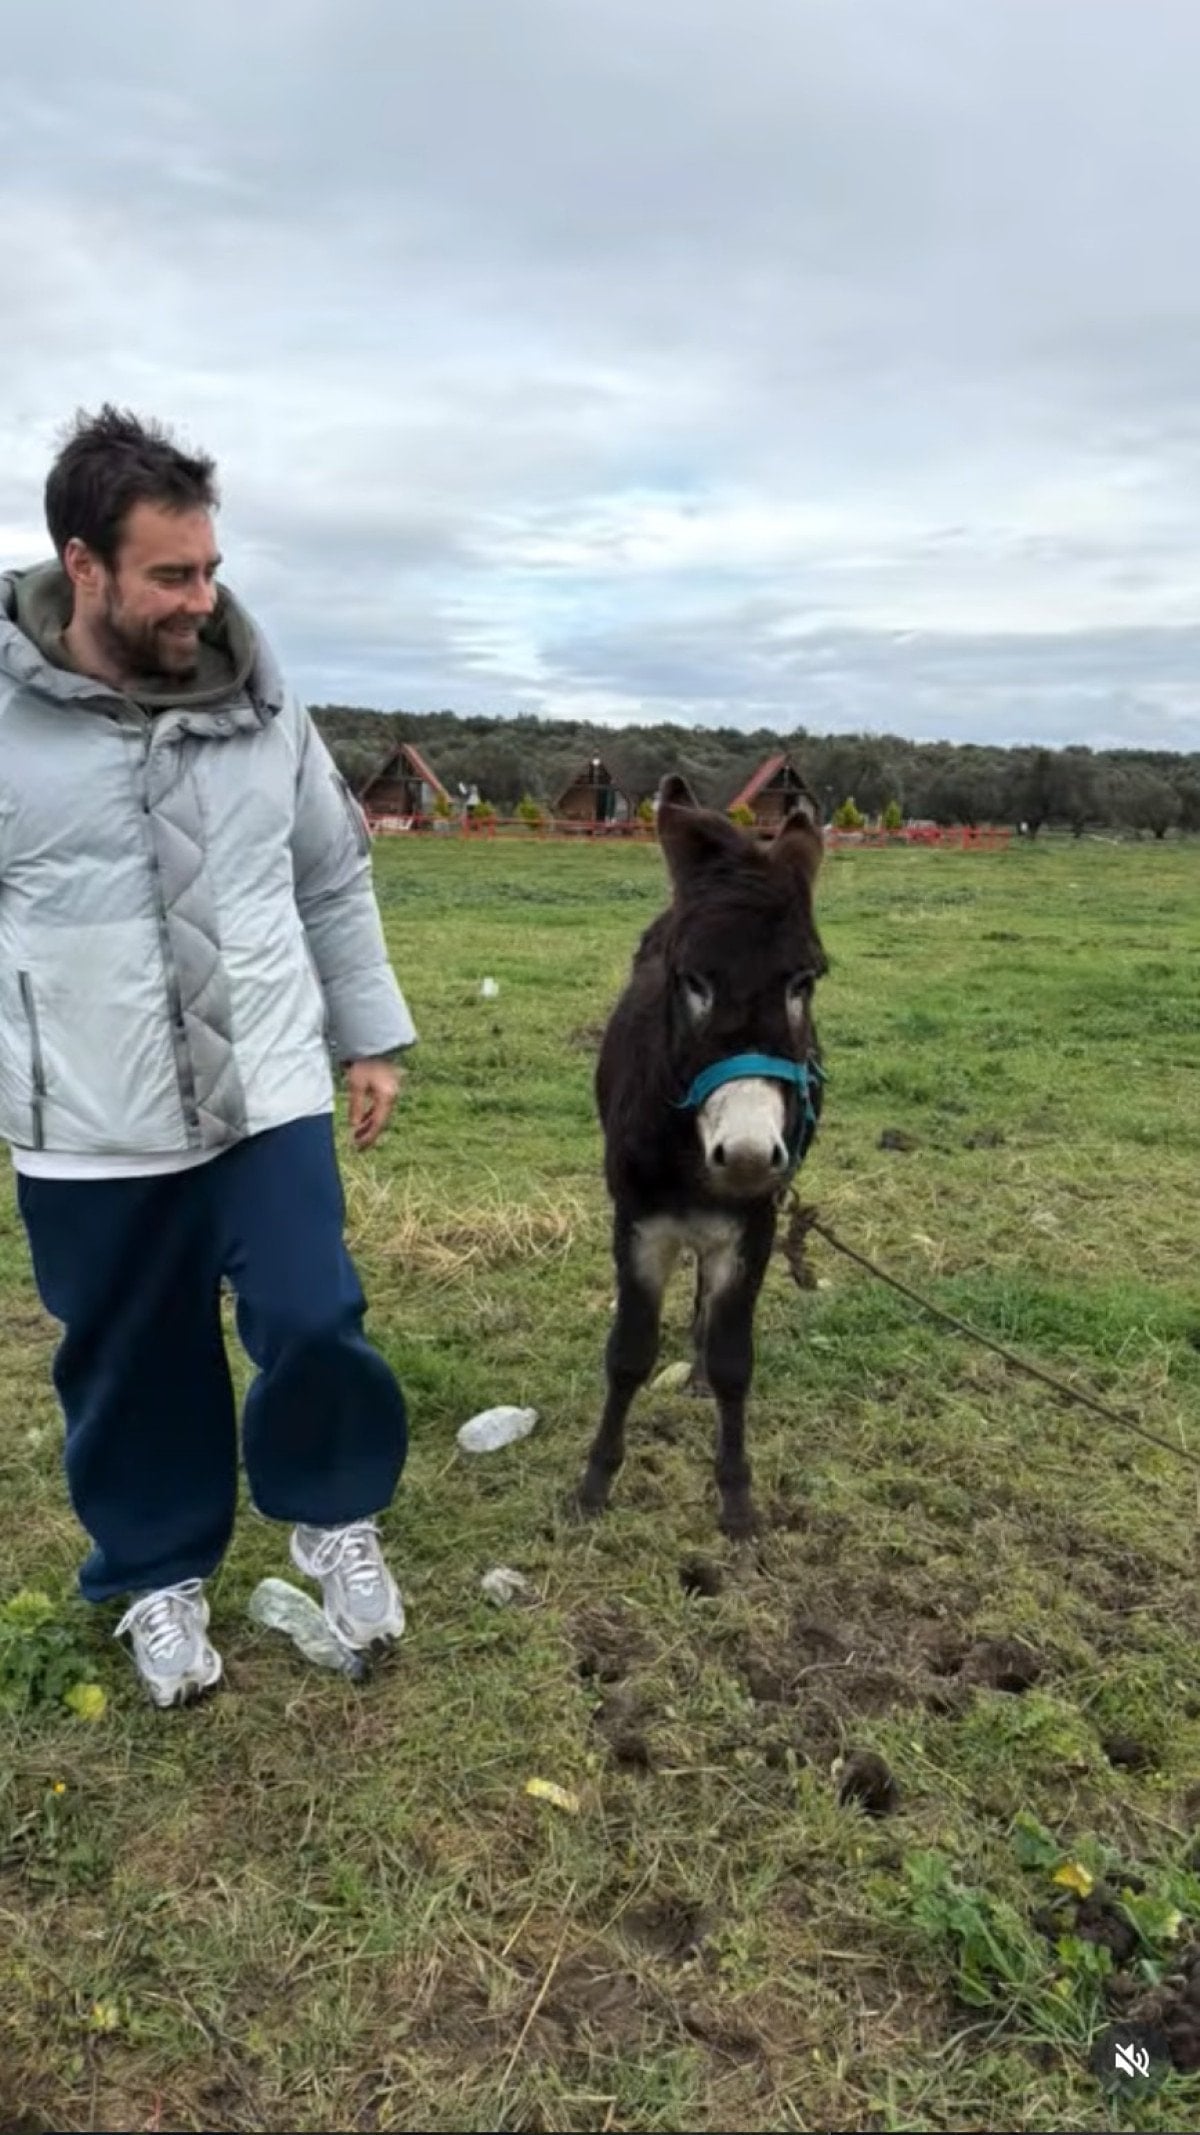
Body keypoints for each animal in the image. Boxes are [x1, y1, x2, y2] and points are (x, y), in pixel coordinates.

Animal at [577, 773, 827, 1538]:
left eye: (805, 982)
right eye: (691, 981)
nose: (744, 1155)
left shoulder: (753, 1229)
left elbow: (732, 1361)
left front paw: (738, 1499)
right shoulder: (636, 1226)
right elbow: (628, 1354)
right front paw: (595, 1484)